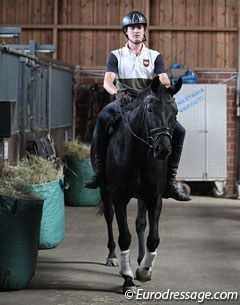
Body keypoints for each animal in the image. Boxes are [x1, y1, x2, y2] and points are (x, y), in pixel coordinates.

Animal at [92, 76, 182, 292]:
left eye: (175, 112)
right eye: (150, 109)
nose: (163, 149)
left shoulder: (154, 197)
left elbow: (153, 237)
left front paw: (144, 271)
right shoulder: (119, 196)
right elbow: (124, 236)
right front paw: (128, 279)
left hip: (142, 196)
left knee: (141, 223)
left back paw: (142, 259)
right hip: (105, 190)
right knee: (109, 217)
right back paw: (112, 257)